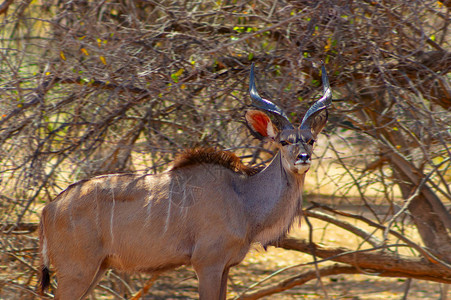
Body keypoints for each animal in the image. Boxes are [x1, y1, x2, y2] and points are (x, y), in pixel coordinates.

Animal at [38, 62, 332, 298]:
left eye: (311, 140)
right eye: (284, 142)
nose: (303, 158)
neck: (243, 196)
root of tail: (48, 208)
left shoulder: (225, 267)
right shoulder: (207, 264)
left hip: (97, 268)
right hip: (77, 270)